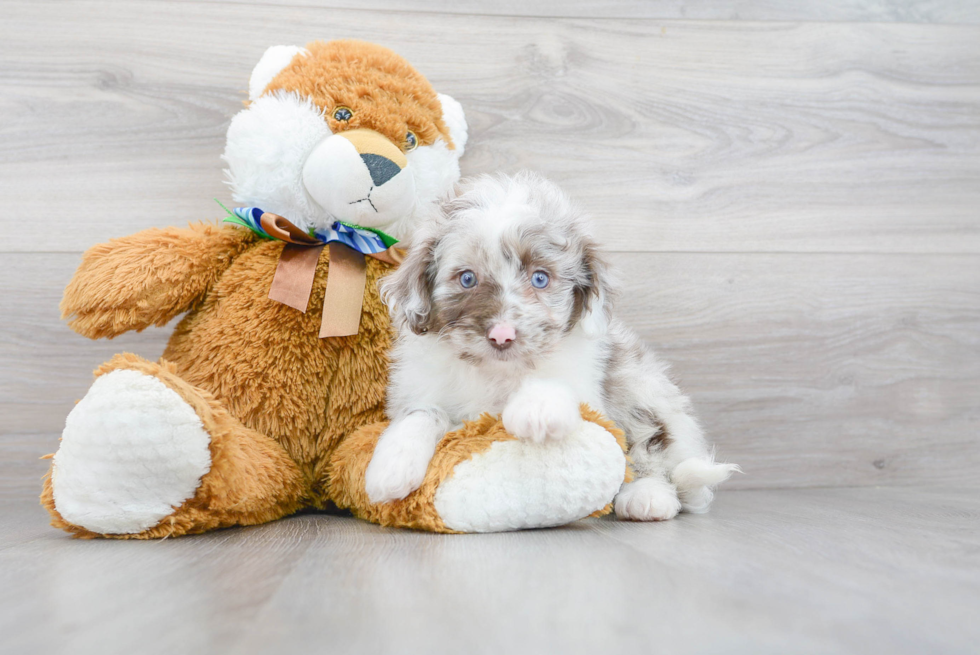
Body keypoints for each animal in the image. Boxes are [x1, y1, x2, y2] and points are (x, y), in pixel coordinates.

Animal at [368, 172, 736, 520]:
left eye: (540, 278)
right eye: (468, 278)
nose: (502, 335)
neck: (497, 373)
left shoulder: (588, 384)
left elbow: (559, 384)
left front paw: (537, 408)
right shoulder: (420, 388)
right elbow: (423, 412)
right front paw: (392, 464)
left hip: (643, 389)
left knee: (653, 450)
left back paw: (647, 496)